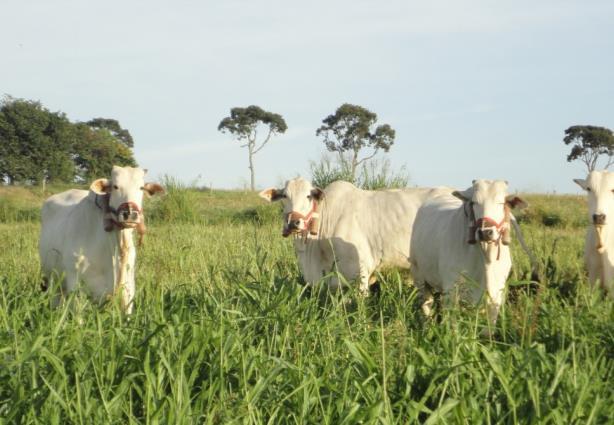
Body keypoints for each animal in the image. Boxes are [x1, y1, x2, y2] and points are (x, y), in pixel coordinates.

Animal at [38, 167, 164, 314]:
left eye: (141, 187)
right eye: (115, 186)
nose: (130, 214)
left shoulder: (127, 291)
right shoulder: (75, 284)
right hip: (53, 279)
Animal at [410, 177, 528, 326]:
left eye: (501, 202)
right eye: (474, 202)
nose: (485, 232)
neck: (485, 259)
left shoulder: (496, 295)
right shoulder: (451, 293)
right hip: (419, 276)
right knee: (427, 304)